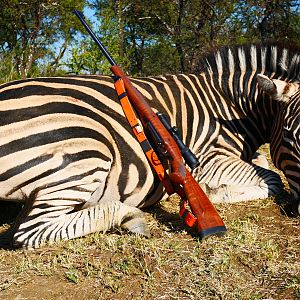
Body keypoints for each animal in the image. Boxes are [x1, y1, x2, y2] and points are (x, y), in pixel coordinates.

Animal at [0, 42, 298, 248]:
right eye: (289, 134)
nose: (298, 212)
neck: (228, 106)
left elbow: (262, 163)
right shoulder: (207, 161)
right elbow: (272, 179)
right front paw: (216, 192)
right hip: (88, 149)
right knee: (28, 230)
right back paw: (129, 216)